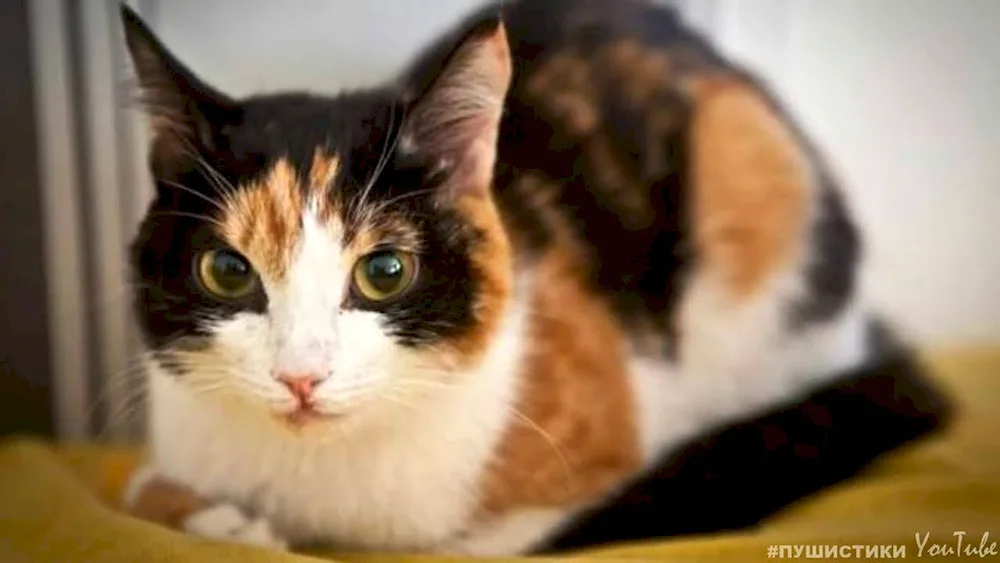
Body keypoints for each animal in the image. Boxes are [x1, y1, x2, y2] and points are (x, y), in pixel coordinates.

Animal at [117, 0, 952, 556]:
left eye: (384, 271)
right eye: (227, 270)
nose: (300, 376)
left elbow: (486, 542)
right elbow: (137, 490)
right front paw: (229, 522)